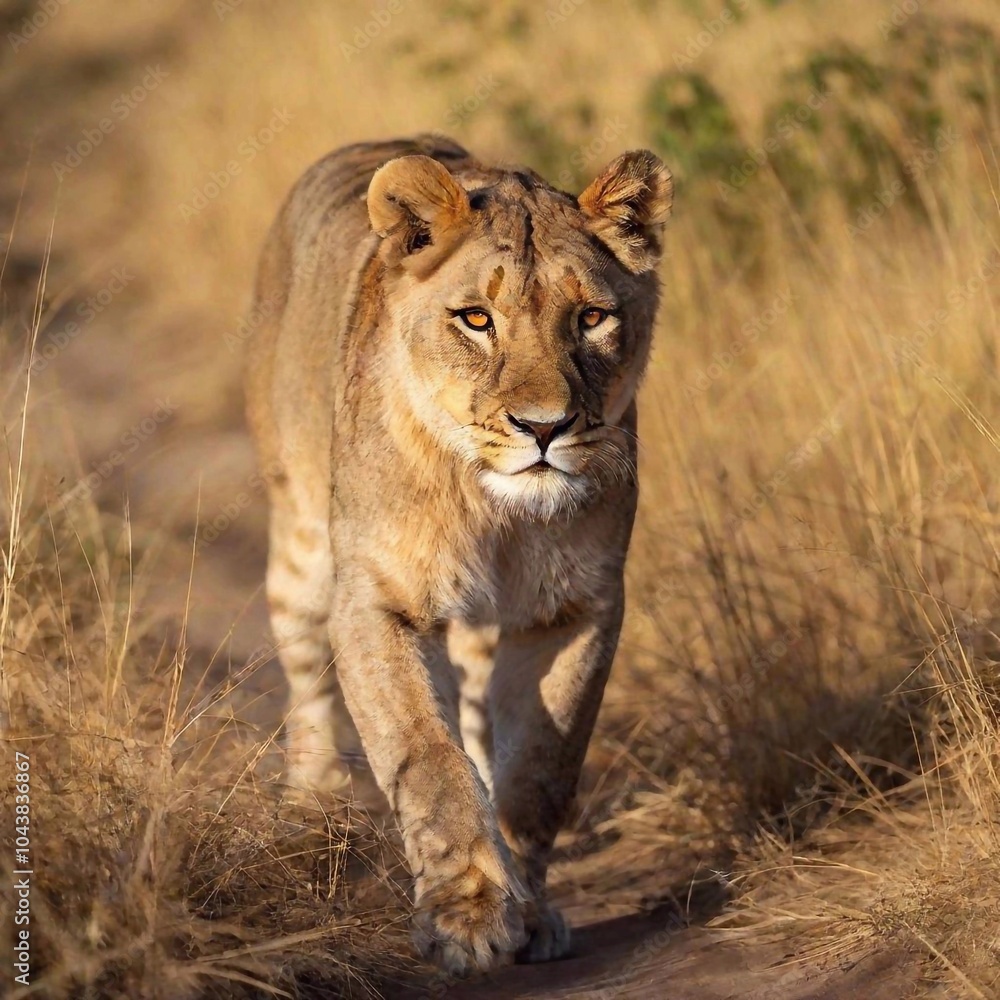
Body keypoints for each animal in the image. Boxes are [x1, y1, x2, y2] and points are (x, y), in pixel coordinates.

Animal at [244, 133, 672, 974]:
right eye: (476, 319)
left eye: (592, 317)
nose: (544, 427)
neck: (496, 512)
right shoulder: (377, 601)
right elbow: (428, 758)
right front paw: (467, 917)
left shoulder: (574, 608)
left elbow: (539, 770)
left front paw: (528, 911)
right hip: (303, 545)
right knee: (306, 678)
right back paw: (310, 803)